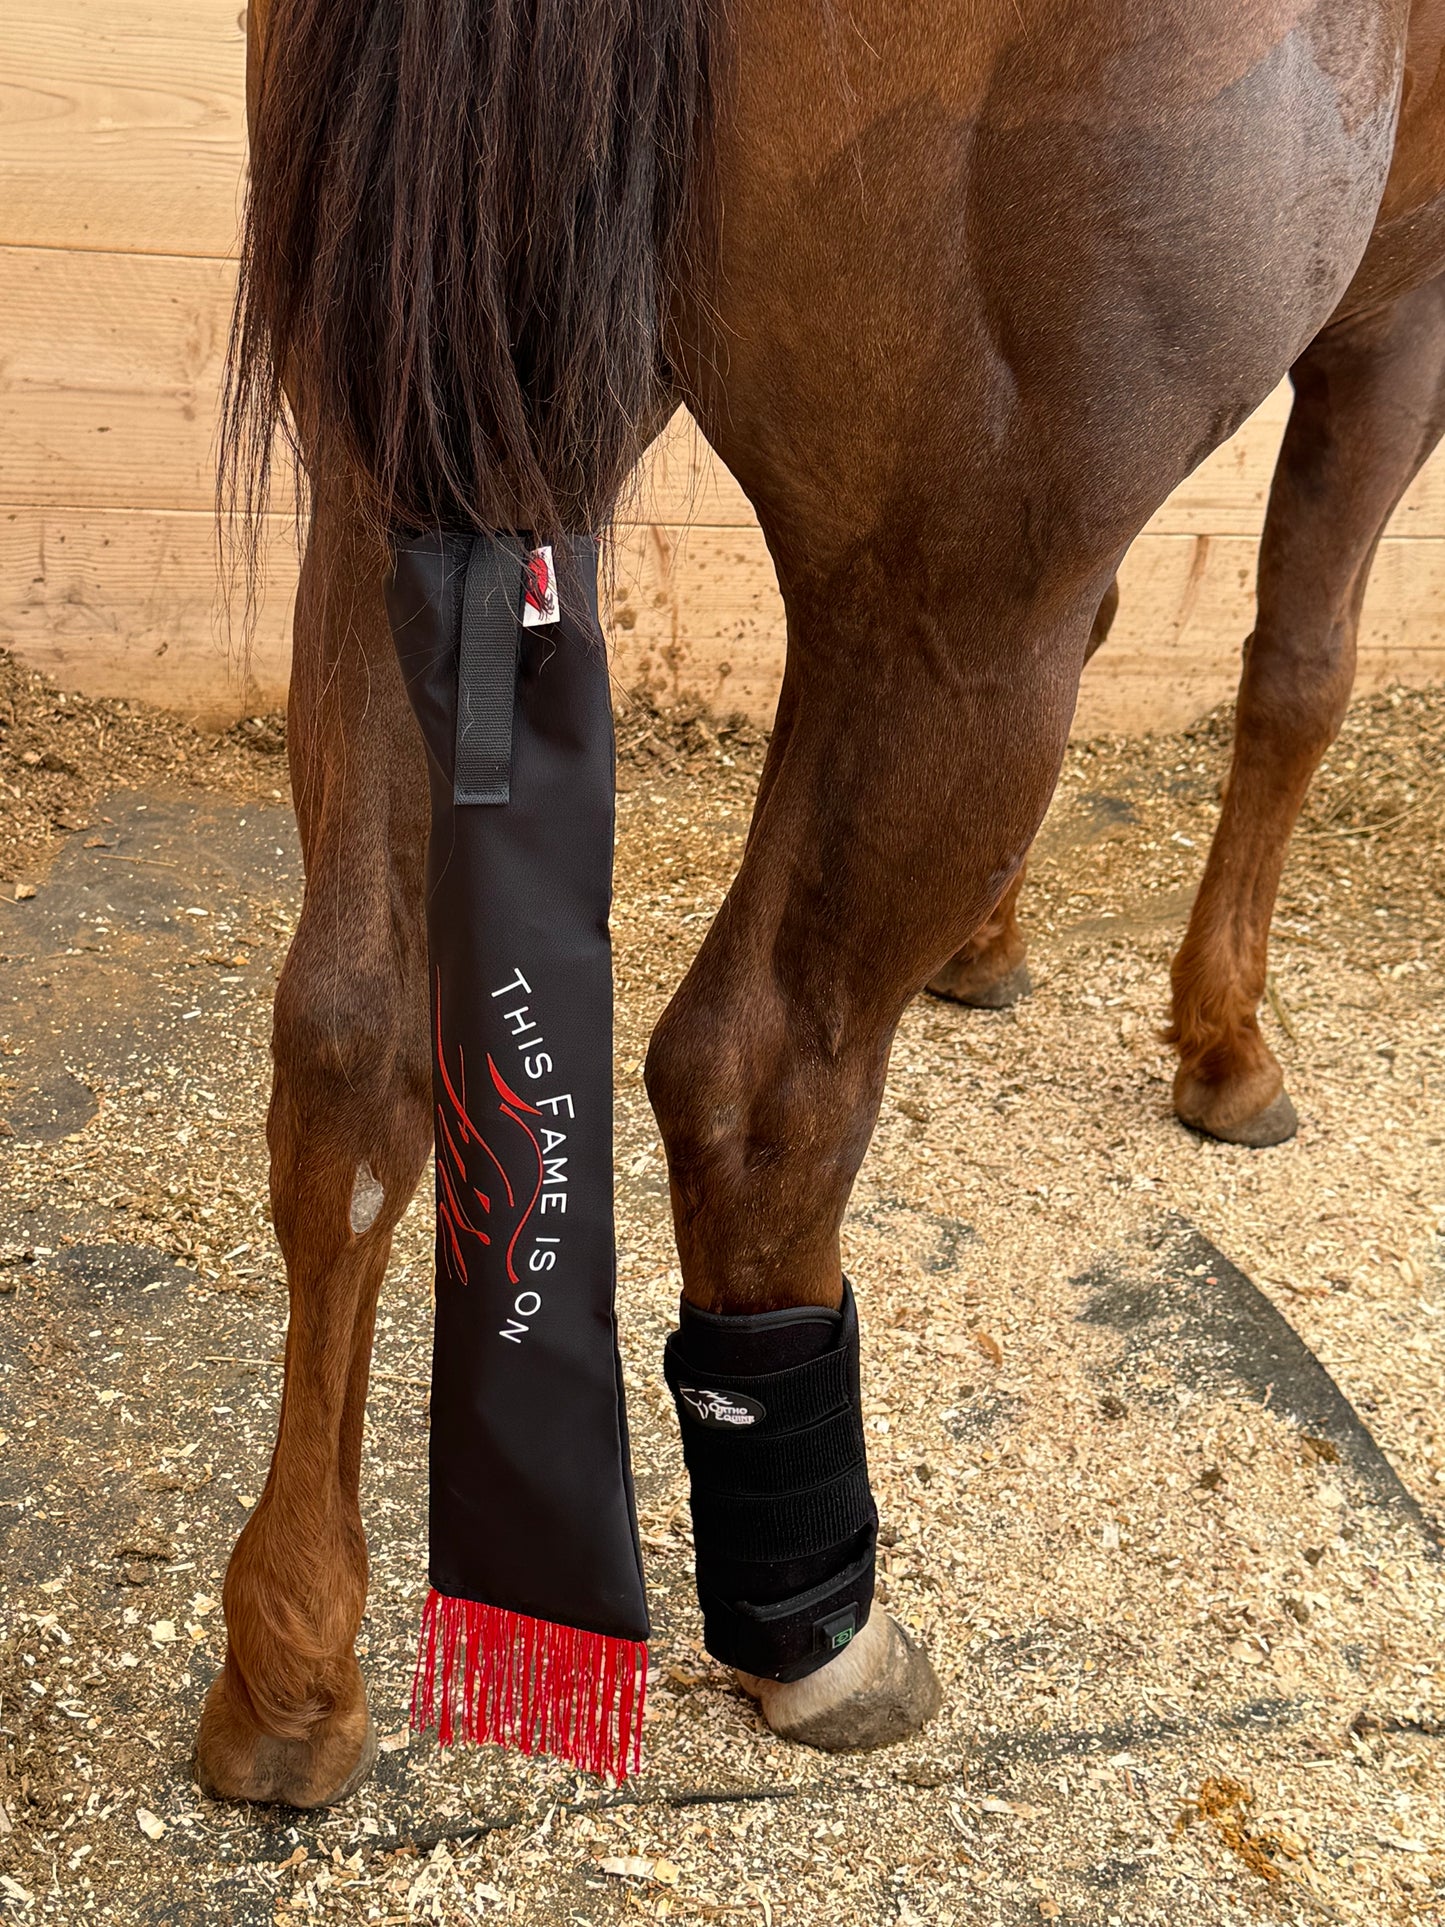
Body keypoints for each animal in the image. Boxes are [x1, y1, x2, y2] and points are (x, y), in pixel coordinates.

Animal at [196, 0, 1445, 1804]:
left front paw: (997, 947)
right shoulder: (1400, 315)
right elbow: (1299, 671)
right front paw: (1224, 1041)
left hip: (420, 438)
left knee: (350, 1040)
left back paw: (291, 1664)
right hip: (955, 582)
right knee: (762, 1069)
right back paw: (815, 1635)